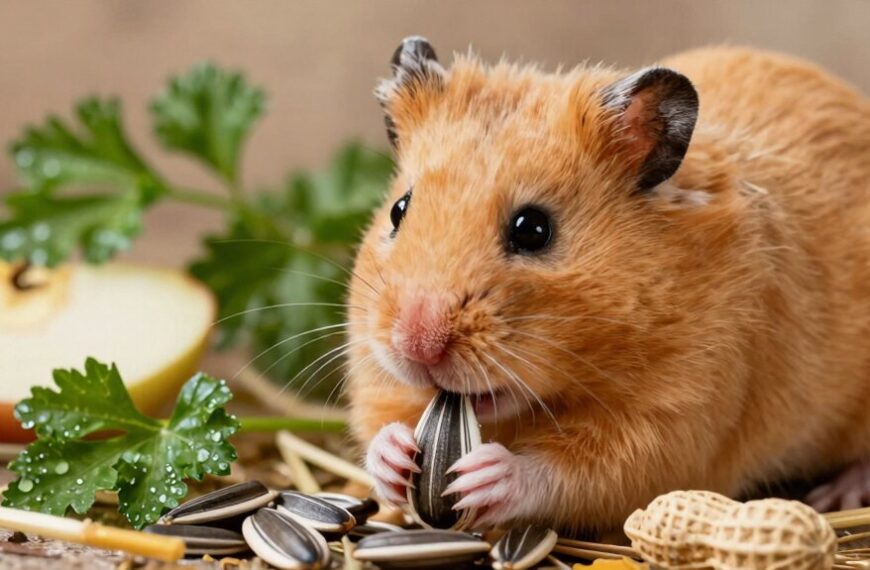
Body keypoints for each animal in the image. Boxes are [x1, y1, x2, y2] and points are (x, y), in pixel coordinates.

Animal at [344, 37, 870, 533]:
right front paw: (394, 455)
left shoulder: (678, 417)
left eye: (533, 229)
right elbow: (377, 424)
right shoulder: (374, 368)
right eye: (398, 210)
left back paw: (837, 495)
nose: (417, 346)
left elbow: (571, 473)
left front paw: (486, 475)